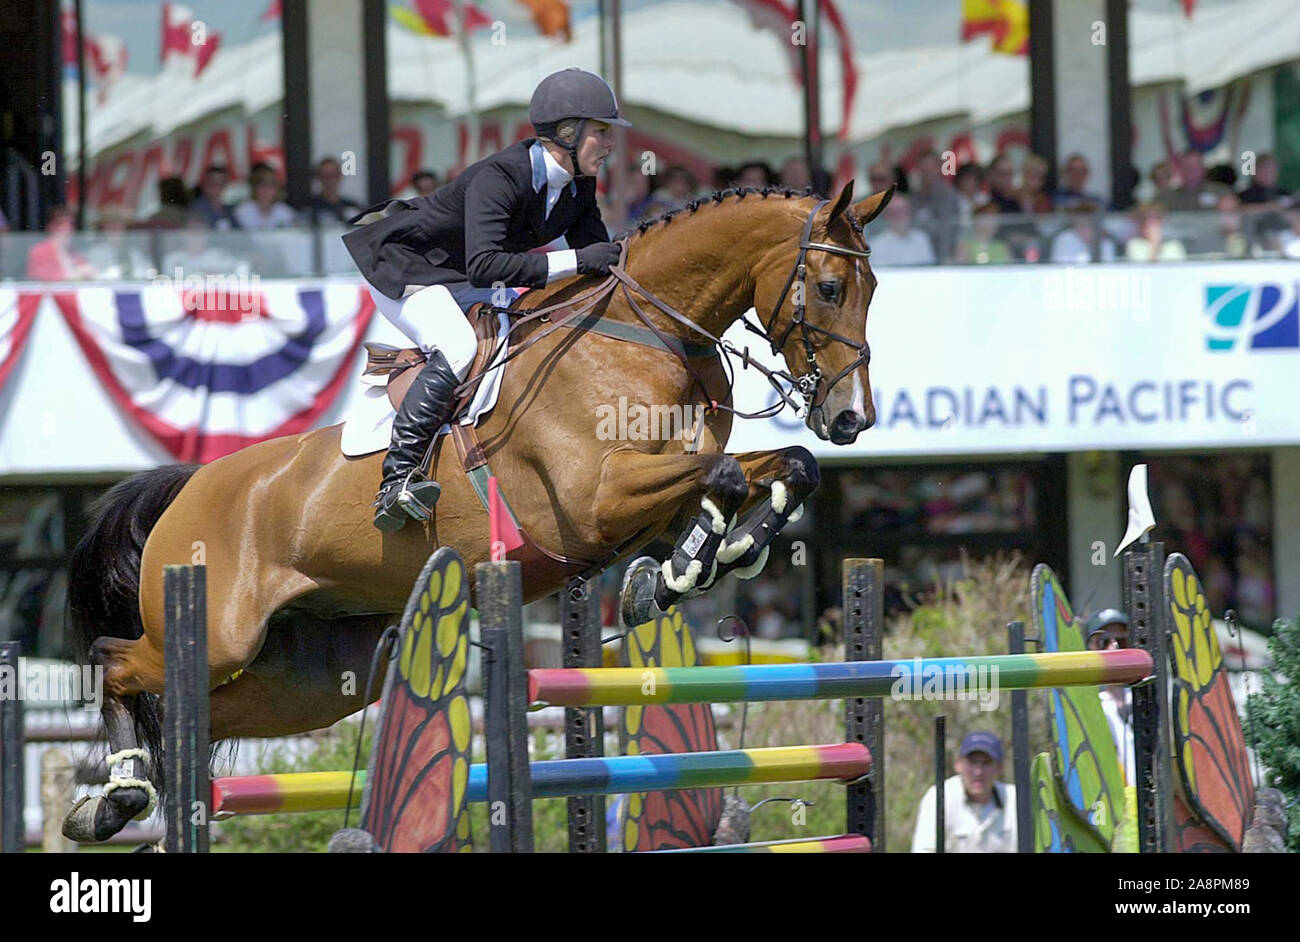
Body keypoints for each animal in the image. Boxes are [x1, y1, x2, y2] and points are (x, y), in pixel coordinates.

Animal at [62, 181, 894, 842]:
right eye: (828, 287)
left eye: (874, 288)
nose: (852, 417)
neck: (644, 334)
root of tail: (189, 485)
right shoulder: (595, 499)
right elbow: (721, 475)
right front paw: (679, 574)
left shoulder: (649, 500)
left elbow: (782, 470)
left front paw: (682, 573)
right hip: (220, 633)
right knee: (118, 661)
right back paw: (115, 795)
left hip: (318, 677)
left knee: (195, 715)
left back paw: (123, 798)